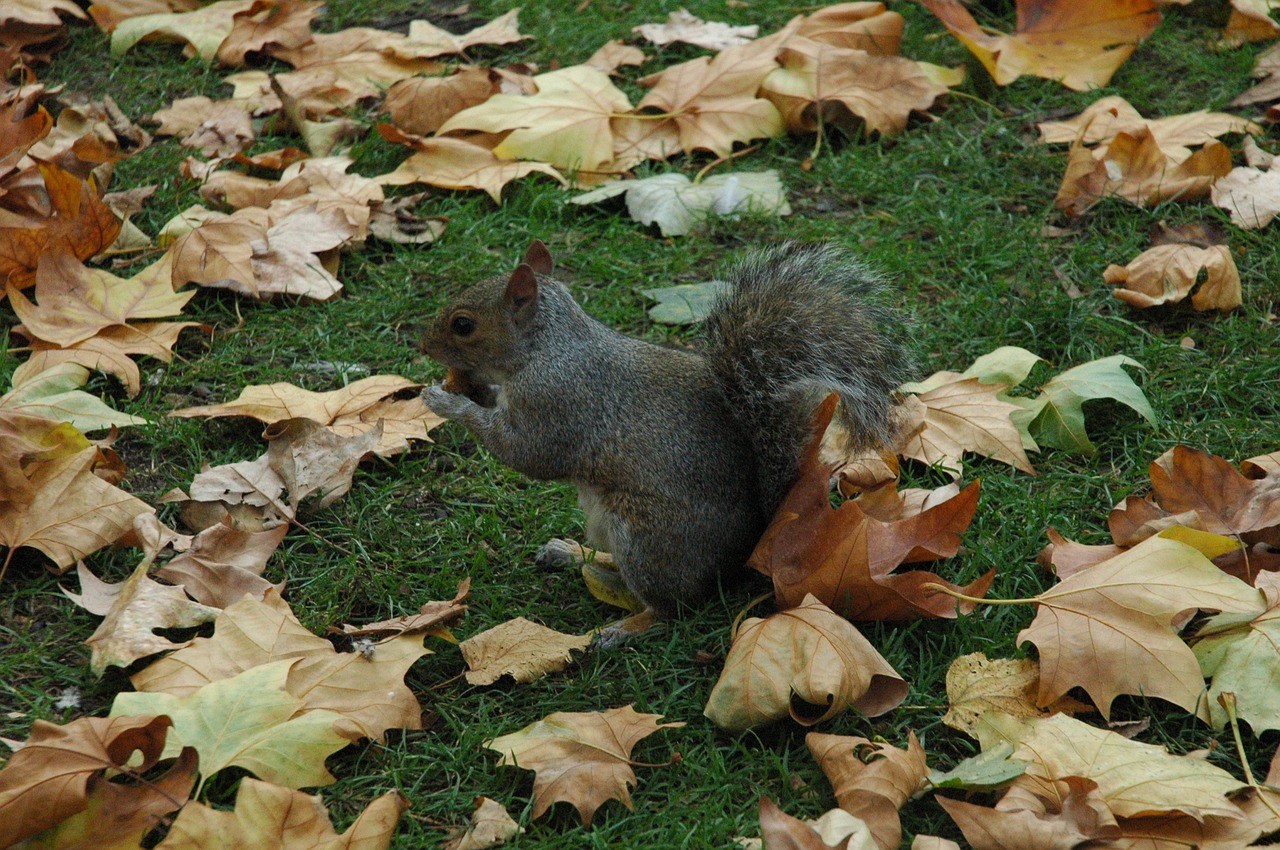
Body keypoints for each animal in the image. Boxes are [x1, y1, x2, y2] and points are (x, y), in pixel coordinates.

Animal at [424, 241, 916, 640]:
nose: (422, 344)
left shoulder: (558, 402)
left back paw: (622, 629)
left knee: (672, 607)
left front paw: (448, 403)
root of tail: (747, 551)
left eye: (463, 325)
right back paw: (571, 552)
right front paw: (468, 390)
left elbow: (527, 454)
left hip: (647, 537)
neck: (548, 347)